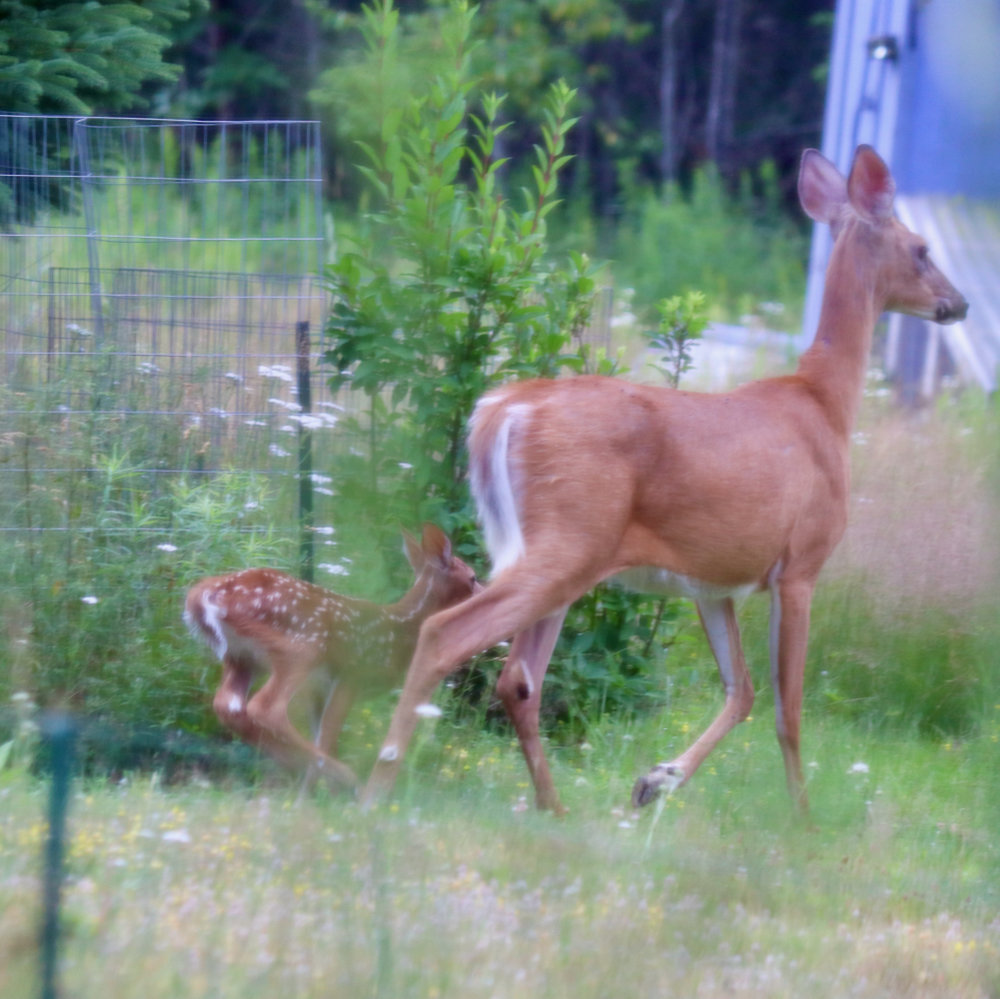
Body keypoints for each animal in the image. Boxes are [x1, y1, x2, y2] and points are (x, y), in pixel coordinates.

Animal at [188, 524, 484, 788]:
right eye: (472, 577)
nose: (484, 591)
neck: (399, 630)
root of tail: (205, 594)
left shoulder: (319, 689)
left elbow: (322, 735)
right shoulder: (352, 674)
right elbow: (329, 736)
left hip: (239, 657)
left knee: (227, 705)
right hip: (302, 647)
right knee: (266, 708)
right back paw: (343, 776)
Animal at [360, 150, 968, 820]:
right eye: (921, 248)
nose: (960, 302)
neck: (826, 404)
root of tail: (502, 410)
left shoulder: (713, 579)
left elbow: (742, 691)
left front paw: (655, 780)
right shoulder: (802, 562)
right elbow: (788, 707)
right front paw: (804, 819)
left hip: (552, 552)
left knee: (517, 678)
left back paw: (554, 807)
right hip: (569, 540)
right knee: (448, 634)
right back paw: (378, 785)